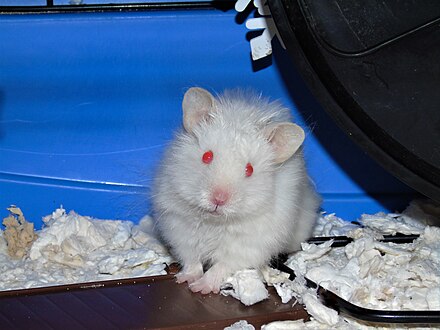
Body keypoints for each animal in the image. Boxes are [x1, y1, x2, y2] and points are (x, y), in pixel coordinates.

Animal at [151, 87, 320, 294]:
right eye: (207, 156)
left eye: (249, 169)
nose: (219, 199)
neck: (215, 222)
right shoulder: (180, 228)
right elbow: (191, 259)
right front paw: (184, 279)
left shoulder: (248, 247)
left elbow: (222, 265)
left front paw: (201, 288)